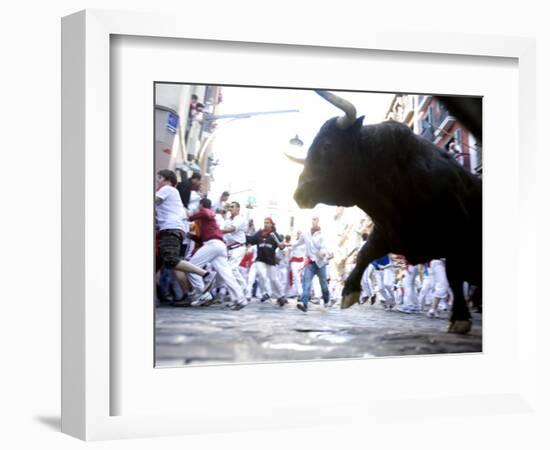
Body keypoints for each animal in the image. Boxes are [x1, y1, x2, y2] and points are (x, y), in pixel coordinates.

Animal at [294, 91, 484, 336]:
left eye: (327, 145)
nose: (298, 193)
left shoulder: (456, 235)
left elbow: (453, 275)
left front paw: (459, 319)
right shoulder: (388, 232)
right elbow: (364, 253)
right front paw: (349, 293)